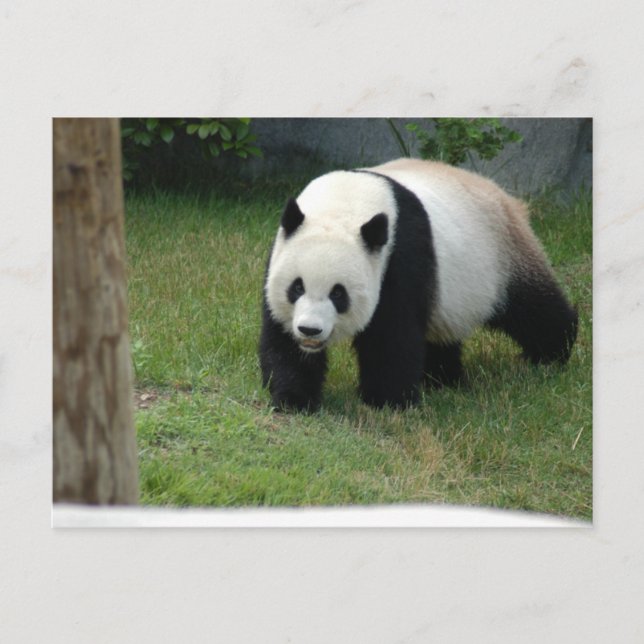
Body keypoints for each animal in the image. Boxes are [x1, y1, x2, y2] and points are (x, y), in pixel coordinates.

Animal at [259, 158, 578, 411]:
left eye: (339, 294)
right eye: (297, 287)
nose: (309, 330)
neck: (346, 201)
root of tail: (507, 198)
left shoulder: (400, 256)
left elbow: (392, 334)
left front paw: (387, 401)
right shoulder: (279, 253)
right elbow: (281, 337)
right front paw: (293, 398)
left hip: (504, 257)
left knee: (533, 310)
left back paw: (549, 355)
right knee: (442, 335)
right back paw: (443, 379)